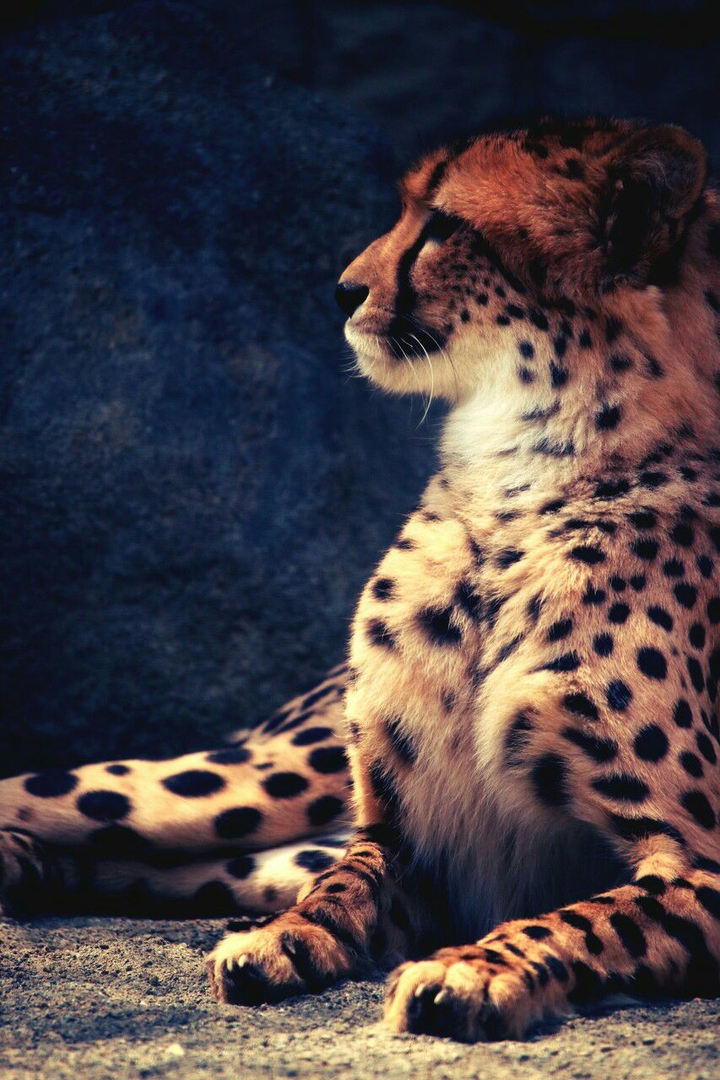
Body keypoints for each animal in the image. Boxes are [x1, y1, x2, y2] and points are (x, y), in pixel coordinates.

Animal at [1, 117, 719, 1043]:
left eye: (445, 224)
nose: (343, 290)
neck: (516, 478)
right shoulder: (413, 839)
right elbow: (346, 878)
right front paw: (288, 937)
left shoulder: (696, 862)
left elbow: (588, 916)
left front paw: (475, 969)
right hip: (264, 775)